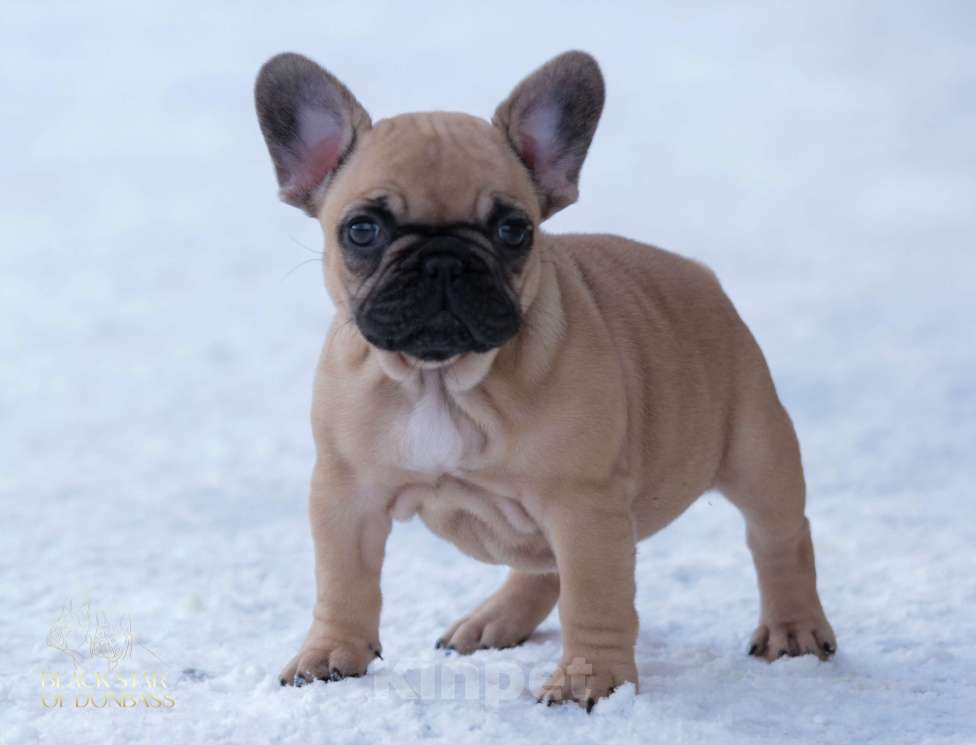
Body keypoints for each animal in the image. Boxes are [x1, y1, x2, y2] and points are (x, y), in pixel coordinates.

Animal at [255, 50, 836, 704]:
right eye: (362, 230)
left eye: (514, 231)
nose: (443, 260)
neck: (442, 380)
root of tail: (700, 274)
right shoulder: (346, 495)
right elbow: (343, 581)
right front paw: (331, 653)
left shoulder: (582, 506)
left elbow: (595, 598)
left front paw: (591, 680)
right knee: (541, 565)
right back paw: (495, 619)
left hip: (757, 450)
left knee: (779, 535)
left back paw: (794, 627)